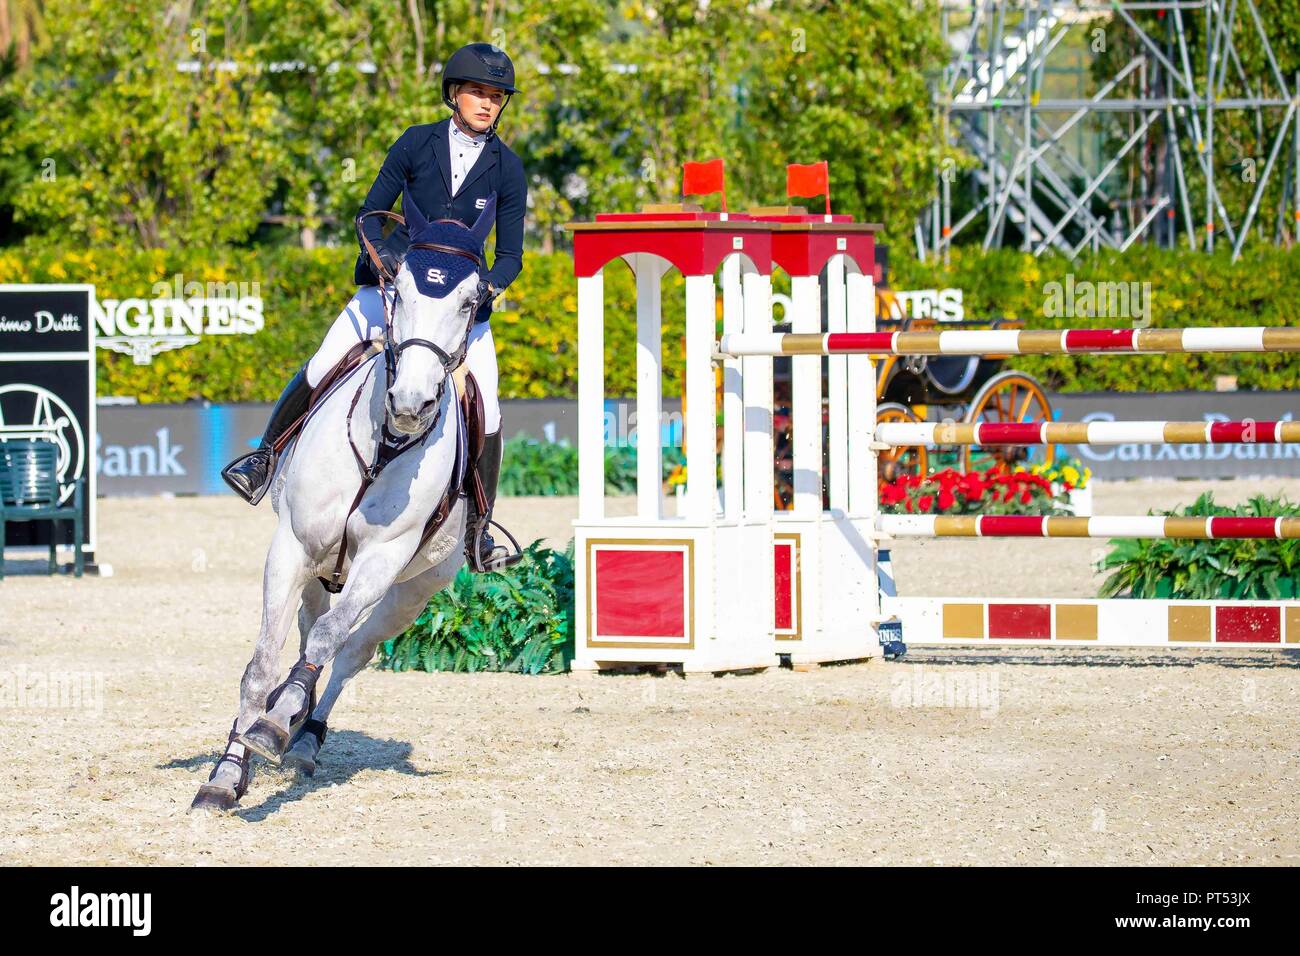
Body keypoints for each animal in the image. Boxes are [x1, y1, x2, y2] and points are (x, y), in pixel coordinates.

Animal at [192, 197, 496, 811]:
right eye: (396, 287)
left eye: (470, 301)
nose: (411, 404)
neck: (385, 445)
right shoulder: (292, 547)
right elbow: (262, 662)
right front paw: (227, 772)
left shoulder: (383, 560)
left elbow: (332, 641)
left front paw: (276, 724)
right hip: (318, 572)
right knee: (308, 631)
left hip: (411, 593)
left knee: (349, 651)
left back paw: (303, 735)